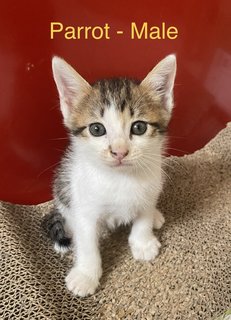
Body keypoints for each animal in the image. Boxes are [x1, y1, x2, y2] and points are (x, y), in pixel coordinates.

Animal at [43, 55, 177, 298]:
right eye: (97, 129)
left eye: (139, 127)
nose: (119, 152)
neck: (121, 178)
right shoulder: (84, 205)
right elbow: (87, 241)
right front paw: (86, 275)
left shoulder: (150, 189)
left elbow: (143, 216)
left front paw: (143, 243)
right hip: (63, 187)